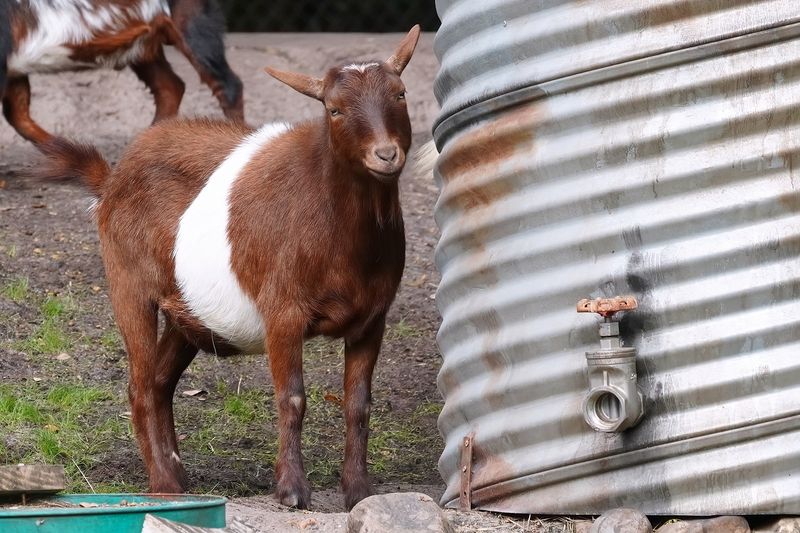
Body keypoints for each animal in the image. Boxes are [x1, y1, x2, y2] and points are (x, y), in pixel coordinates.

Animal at [1, 0, 242, 145]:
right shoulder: (12, 64)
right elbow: (17, 114)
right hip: (144, 46)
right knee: (170, 85)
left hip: (191, 20)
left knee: (227, 84)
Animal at [43, 23, 422, 508]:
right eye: (334, 109)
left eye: (401, 94)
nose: (386, 155)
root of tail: (110, 177)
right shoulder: (283, 312)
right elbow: (292, 398)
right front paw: (292, 490)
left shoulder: (372, 318)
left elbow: (358, 404)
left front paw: (357, 490)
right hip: (128, 285)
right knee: (141, 385)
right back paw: (163, 484)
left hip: (186, 313)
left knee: (161, 381)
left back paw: (178, 478)